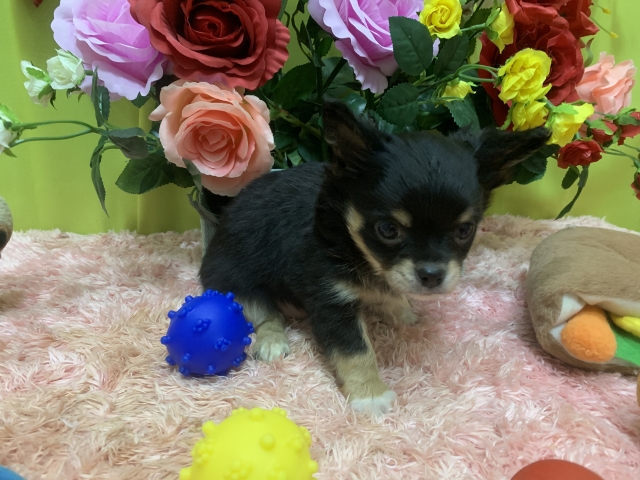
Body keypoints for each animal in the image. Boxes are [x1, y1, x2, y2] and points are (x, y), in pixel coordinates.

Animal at [200, 101, 550, 414]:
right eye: (388, 229)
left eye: (465, 230)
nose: (432, 275)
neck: (355, 247)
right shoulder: (331, 300)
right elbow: (356, 351)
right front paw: (370, 396)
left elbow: (391, 295)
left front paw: (402, 310)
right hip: (232, 275)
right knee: (261, 311)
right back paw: (272, 341)